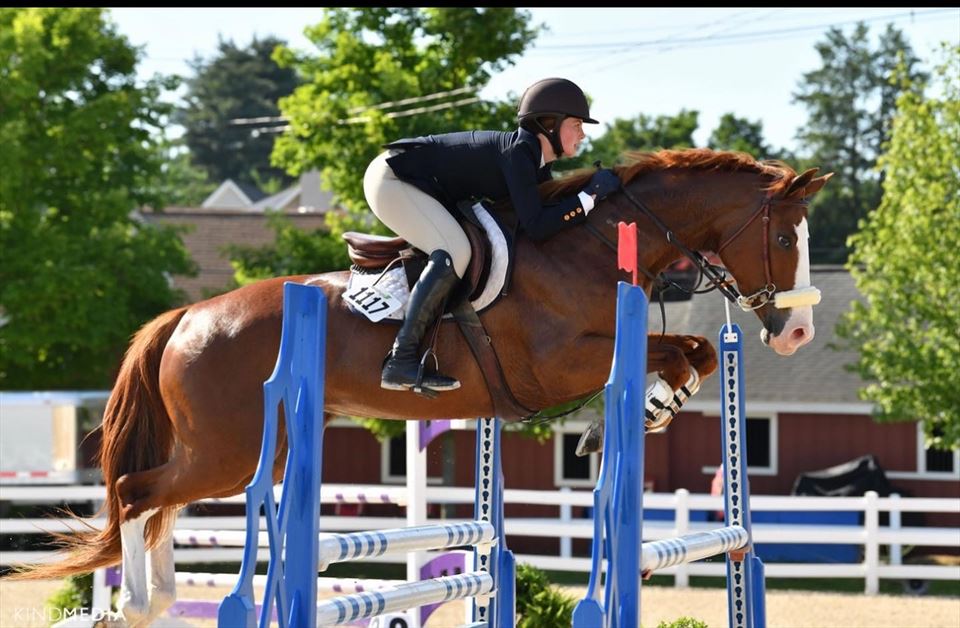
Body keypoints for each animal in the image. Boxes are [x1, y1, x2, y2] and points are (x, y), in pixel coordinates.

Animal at [12, 149, 830, 625]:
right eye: (783, 237)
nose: (795, 334)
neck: (591, 247)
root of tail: (186, 316)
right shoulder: (559, 365)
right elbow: (680, 352)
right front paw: (637, 412)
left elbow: (697, 352)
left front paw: (650, 409)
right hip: (229, 451)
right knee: (136, 493)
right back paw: (140, 602)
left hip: (244, 449)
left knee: (156, 501)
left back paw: (158, 599)